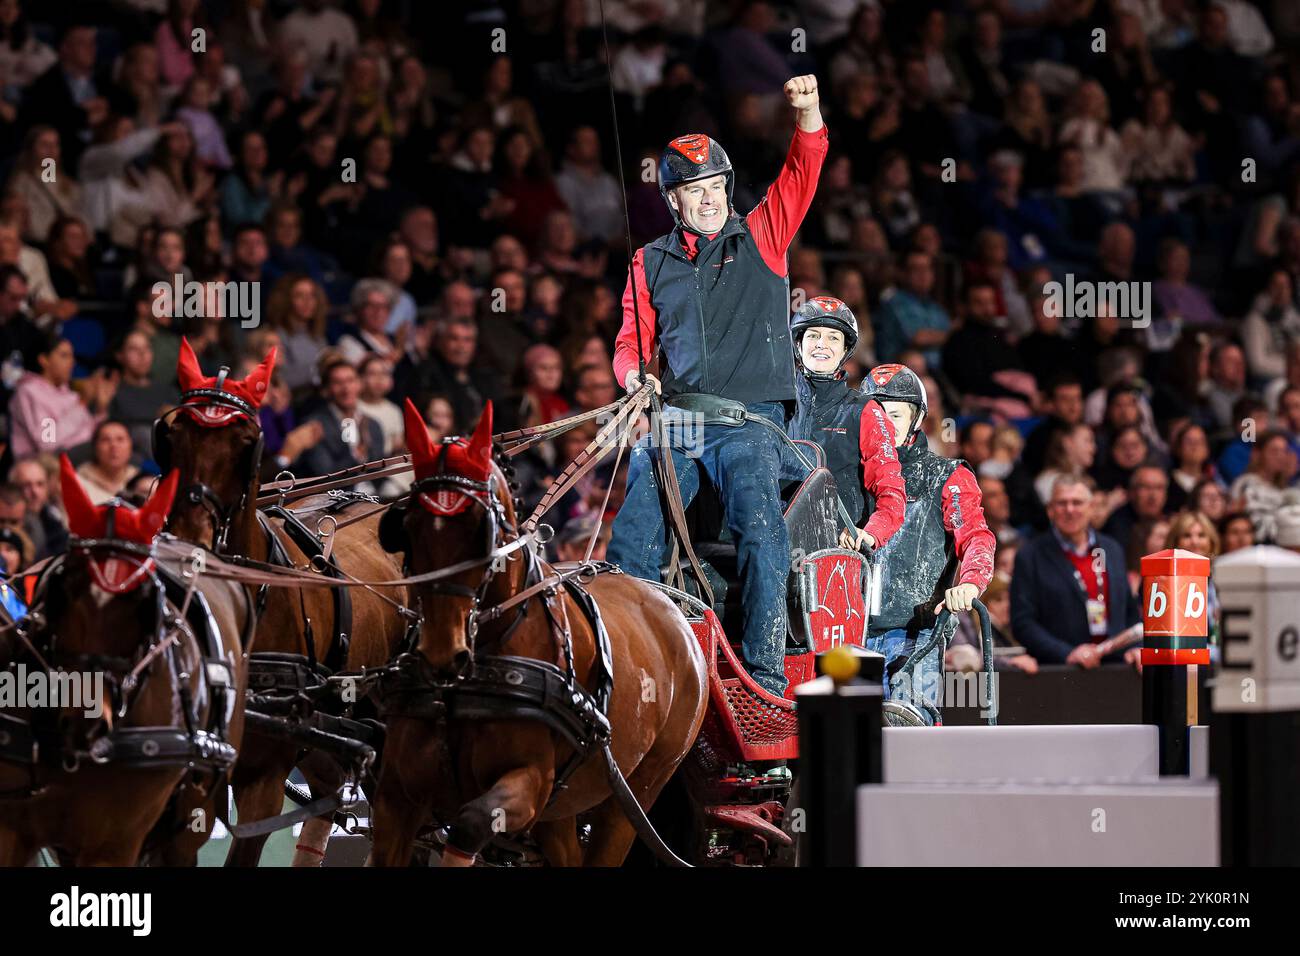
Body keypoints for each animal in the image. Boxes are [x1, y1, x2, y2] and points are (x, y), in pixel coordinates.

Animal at [366, 403, 712, 868]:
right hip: (564, 812)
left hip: (637, 791)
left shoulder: (529, 785)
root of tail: (674, 612)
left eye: (483, 533)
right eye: (408, 527)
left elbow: (472, 822)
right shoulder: (395, 798)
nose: (441, 652)